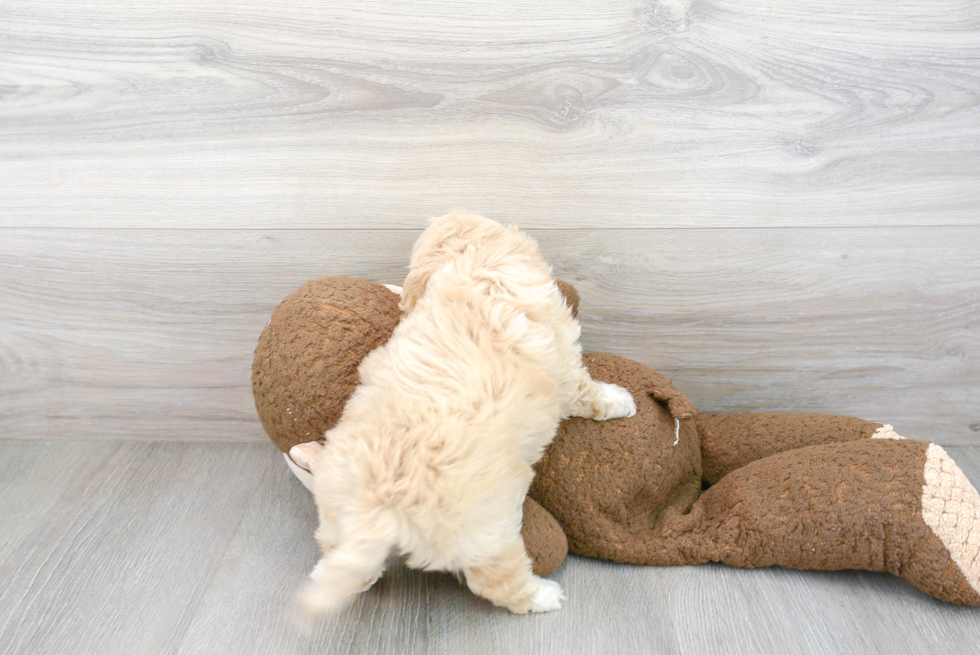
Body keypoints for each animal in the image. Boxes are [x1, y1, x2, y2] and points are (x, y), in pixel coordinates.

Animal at [298, 215, 636, 620]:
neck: (475, 269)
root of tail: (383, 505)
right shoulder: (565, 363)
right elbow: (587, 392)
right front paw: (620, 400)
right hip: (490, 530)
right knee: (497, 581)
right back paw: (543, 596)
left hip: (335, 509)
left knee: (346, 562)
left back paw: (329, 575)